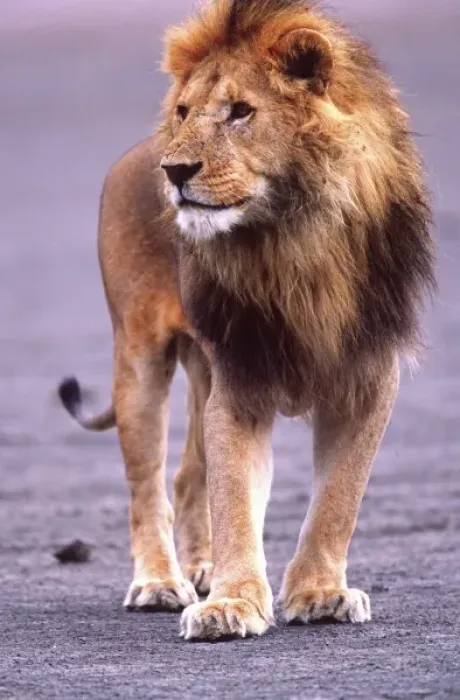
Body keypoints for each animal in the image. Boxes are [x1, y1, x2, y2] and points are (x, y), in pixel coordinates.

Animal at [58, 0, 435, 641]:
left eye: (241, 111)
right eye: (184, 111)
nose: (175, 171)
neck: (294, 240)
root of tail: (137, 152)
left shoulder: (367, 380)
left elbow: (338, 499)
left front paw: (320, 593)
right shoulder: (238, 381)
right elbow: (234, 497)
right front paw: (231, 604)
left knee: (189, 476)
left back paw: (202, 567)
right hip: (140, 360)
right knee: (148, 486)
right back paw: (160, 583)